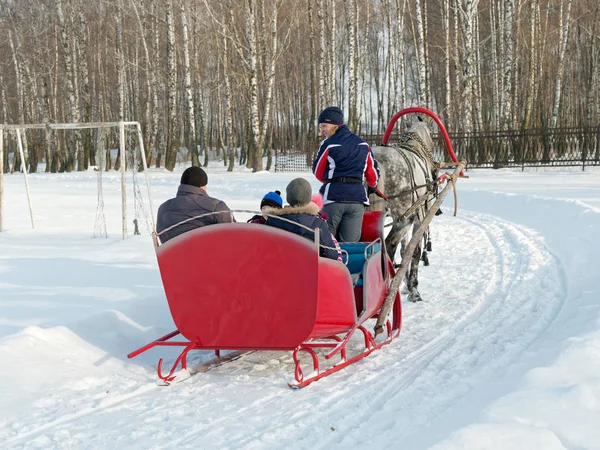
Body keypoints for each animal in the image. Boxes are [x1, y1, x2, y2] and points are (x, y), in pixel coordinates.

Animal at [366, 119, 436, 302]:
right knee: (389, 246)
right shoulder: (418, 215)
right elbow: (414, 250)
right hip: (403, 216)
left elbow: (405, 250)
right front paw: (413, 289)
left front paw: (404, 283)